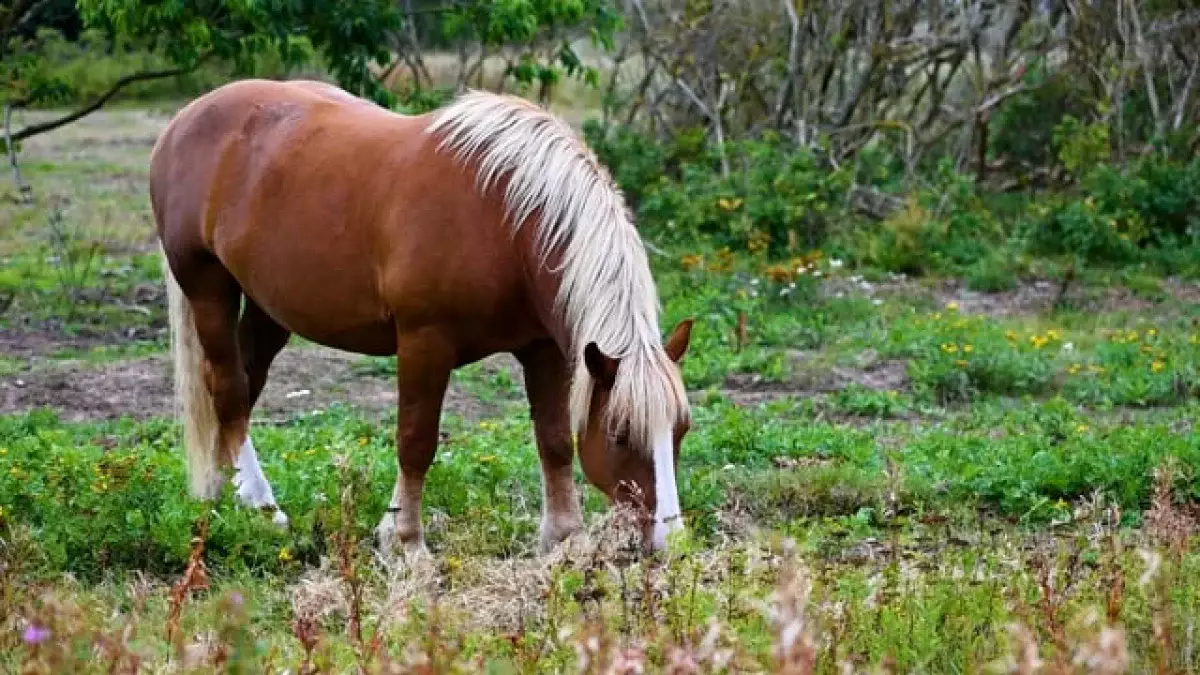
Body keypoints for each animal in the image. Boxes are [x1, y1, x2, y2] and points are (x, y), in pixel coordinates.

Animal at [149, 78, 694, 557]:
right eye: (621, 435)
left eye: (680, 431)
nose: (671, 542)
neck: (505, 219)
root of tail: (184, 120)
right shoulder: (424, 342)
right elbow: (416, 442)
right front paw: (405, 543)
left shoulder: (545, 351)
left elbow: (555, 441)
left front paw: (566, 538)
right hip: (208, 287)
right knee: (228, 389)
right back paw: (262, 506)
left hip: (268, 307)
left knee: (243, 385)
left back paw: (221, 492)